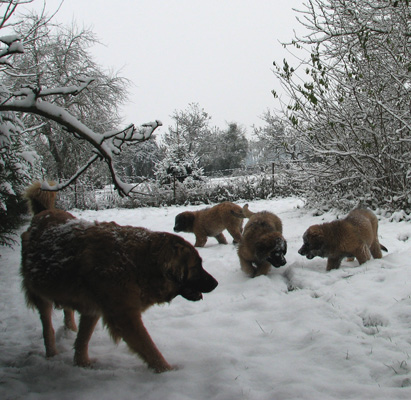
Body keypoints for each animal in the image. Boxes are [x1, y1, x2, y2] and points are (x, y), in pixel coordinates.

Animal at [20, 181, 219, 372]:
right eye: (196, 267)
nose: (216, 283)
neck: (138, 263)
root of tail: (44, 212)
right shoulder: (124, 315)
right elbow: (149, 348)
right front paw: (168, 372)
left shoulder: (94, 309)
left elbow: (83, 339)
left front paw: (82, 364)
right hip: (39, 293)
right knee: (47, 327)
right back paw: (52, 353)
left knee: (69, 313)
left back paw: (70, 332)